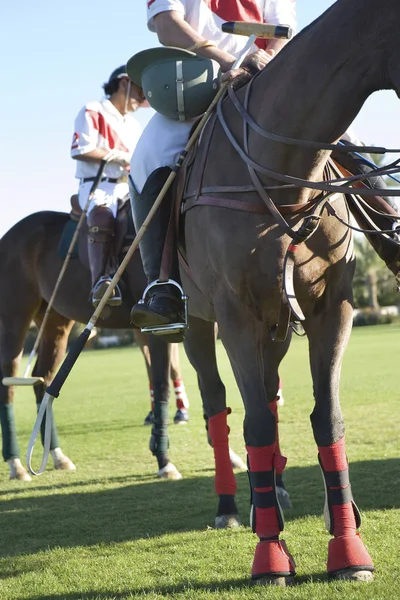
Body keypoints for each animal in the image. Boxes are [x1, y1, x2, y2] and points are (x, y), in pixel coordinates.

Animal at [0, 209, 189, 480]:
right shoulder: (155, 327)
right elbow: (162, 382)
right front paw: (164, 461)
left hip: (56, 321)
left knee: (43, 379)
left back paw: (57, 455)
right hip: (14, 316)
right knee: (9, 384)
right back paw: (15, 464)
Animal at [145, 0, 398, 584]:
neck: (286, 172)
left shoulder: (333, 307)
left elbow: (325, 417)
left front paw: (348, 546)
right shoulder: (236, 315)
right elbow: (254, 422)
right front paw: (270, 556)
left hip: (277, 326)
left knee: (270, 388)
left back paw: (277, 492)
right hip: (200, 324)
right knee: (218, 404)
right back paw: (230, 507)